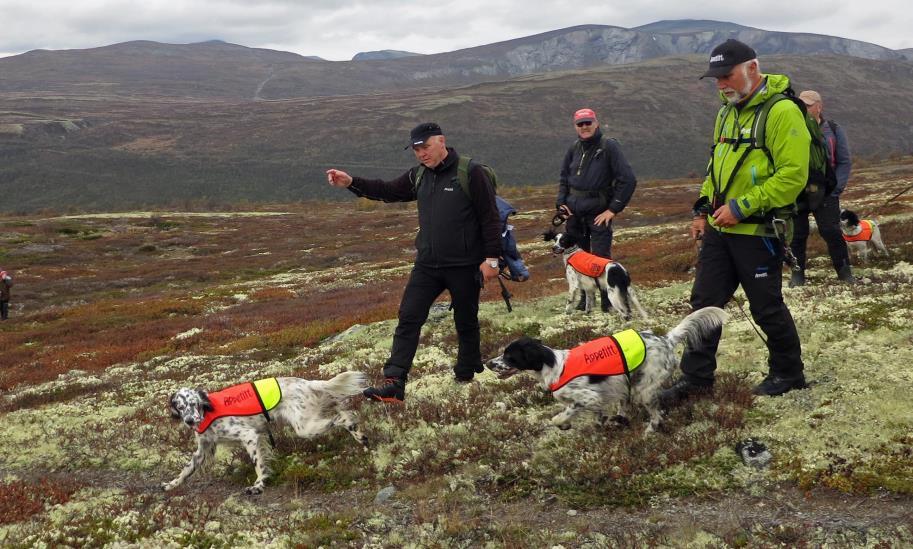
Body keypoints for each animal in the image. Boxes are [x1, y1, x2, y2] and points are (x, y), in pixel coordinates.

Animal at [164, 370, 366, 494]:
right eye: (180, 407)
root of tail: (307, 383)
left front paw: (259, 485)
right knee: (341, 411)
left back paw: (359, 434)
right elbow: (187, 469)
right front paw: (172, 484)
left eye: (193, 403)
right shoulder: (204, 448)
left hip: (305, 427)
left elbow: (258, 463)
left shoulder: (249, 436)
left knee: (342, 418)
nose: (189, 421)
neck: (208, 411)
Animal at [484, 308, 728, 432]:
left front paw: (561, 422)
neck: (553, 365)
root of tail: (665, 340)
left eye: (510, 356)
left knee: (657, 415)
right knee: (627, 406)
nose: (487, 363)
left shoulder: (587, 397)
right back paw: (620, 420)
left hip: (644, 389)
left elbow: (566, 413)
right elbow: (597, 416)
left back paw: (650, 430)